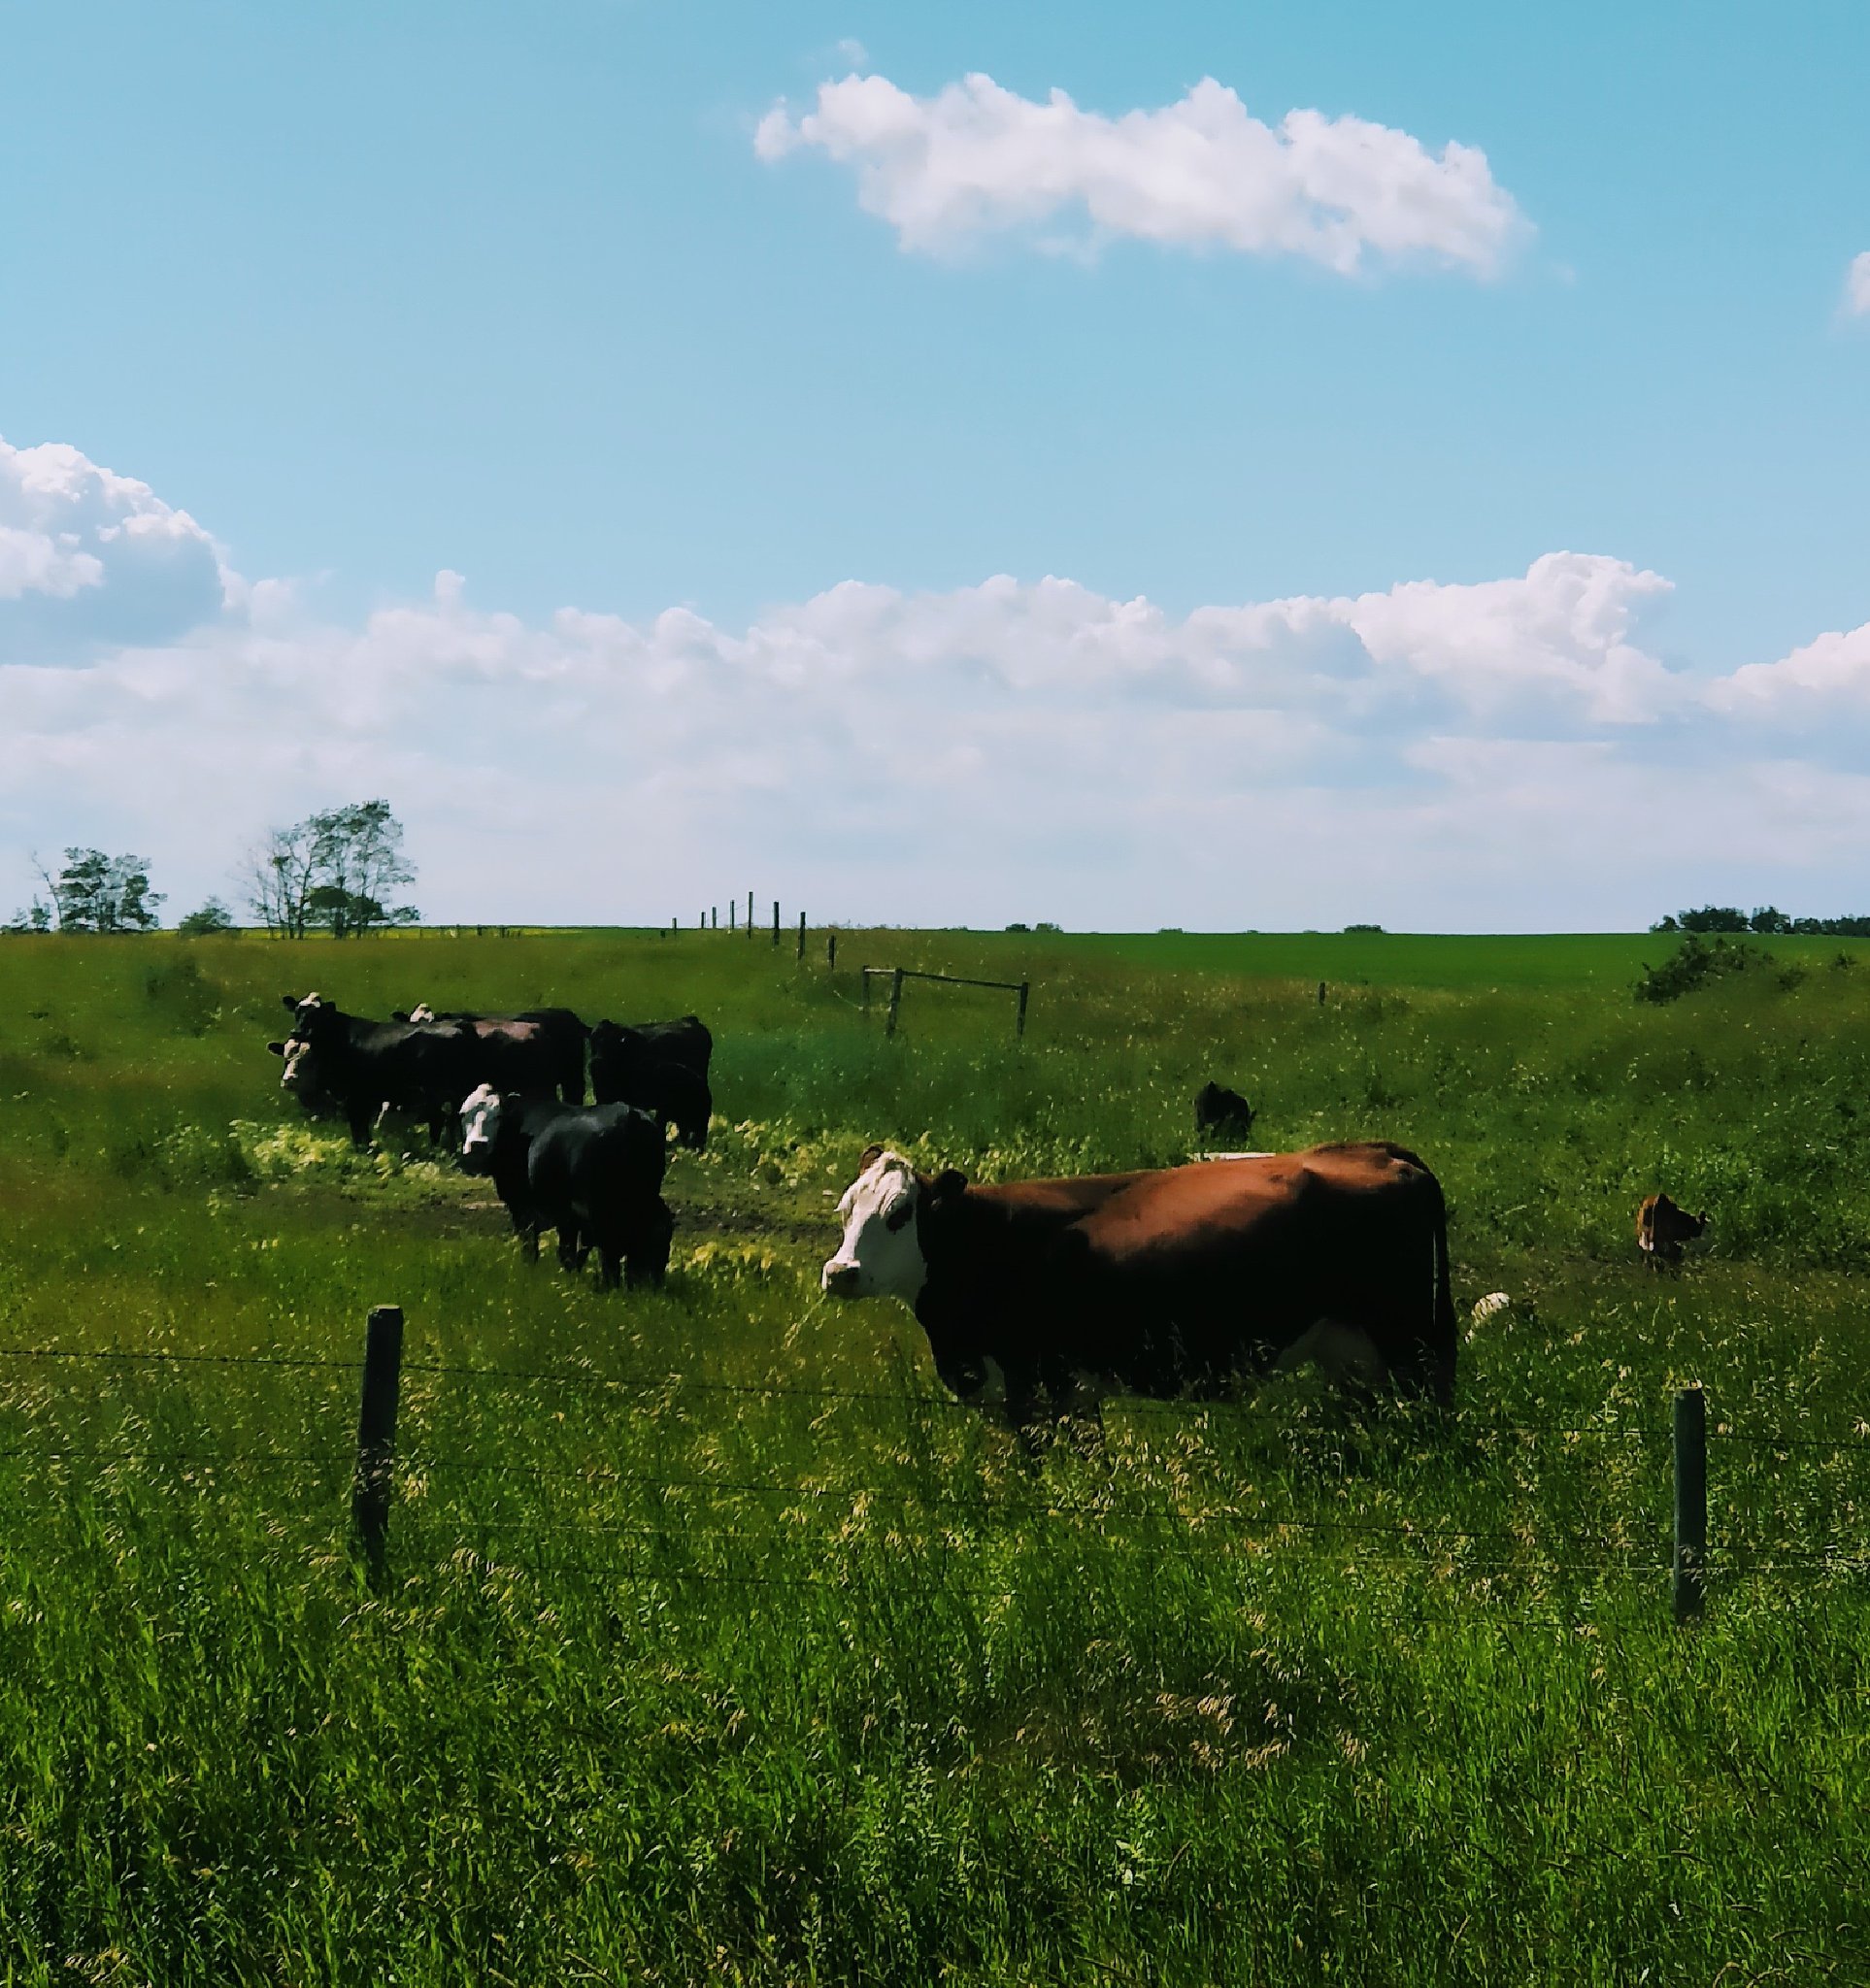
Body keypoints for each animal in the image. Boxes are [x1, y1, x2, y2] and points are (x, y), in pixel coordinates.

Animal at [459, 1084, 671, 1288]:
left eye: (498, 1116)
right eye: (463, 1114)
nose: (477, 1144)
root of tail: (629, 1115)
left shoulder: (522, 1206)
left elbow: (533, 1247)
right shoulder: (566, 1216)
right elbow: (569, 1252)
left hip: (599, 1210)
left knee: (608, 1248)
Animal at [821, 1140, 1456, 1438]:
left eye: (900, 1214)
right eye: (845, 1208)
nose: (840, 1272)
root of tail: (1378, 1151)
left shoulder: (1038, 1385)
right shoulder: (1066, 1392)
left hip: (1410, 1346)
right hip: (1352, 1354)